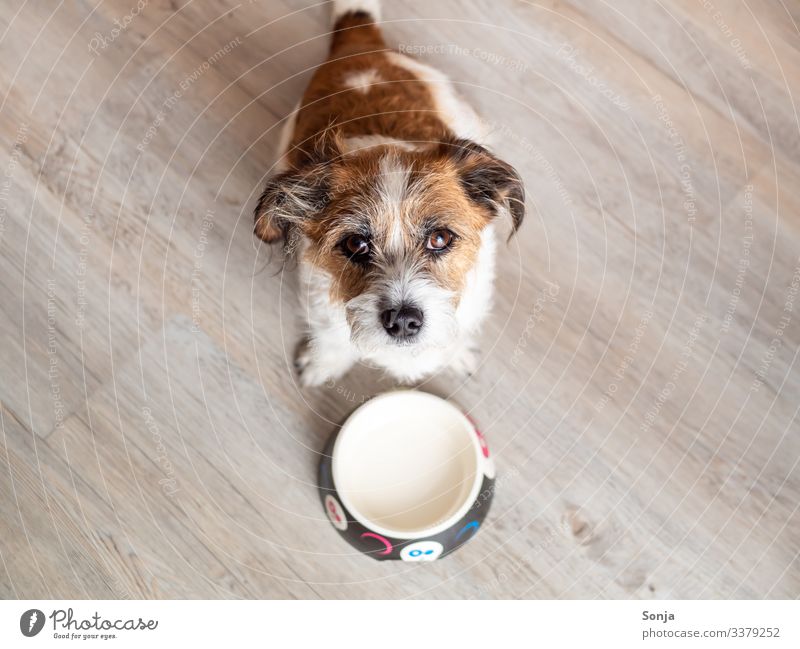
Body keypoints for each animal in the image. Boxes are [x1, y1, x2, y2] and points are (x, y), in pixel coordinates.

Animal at [255, 0, 524, 384]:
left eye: (440, 238)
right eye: (355, 244)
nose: (403, 320)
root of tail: (361, 44)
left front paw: (455, 355)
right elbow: (330, 337)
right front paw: (324, 363)